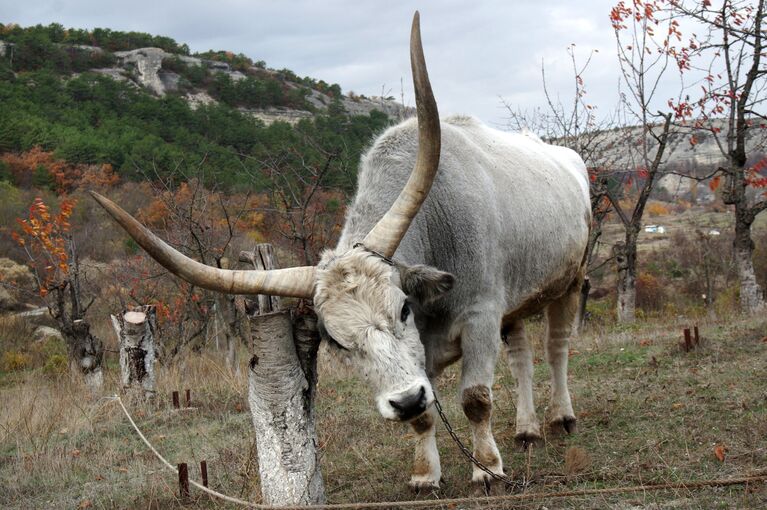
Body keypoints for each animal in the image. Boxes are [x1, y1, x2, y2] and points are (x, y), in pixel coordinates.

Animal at [93, 11, 592, 490]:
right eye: (335, 340)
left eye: (403, 308)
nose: (404, 399)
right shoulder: (430, 354)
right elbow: (427, 415)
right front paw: (425, 473)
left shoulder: (480, 316)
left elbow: (475, 399)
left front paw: (487, 469)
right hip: (517, 304)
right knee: (522, 354)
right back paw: (527, 428)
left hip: (570, 281)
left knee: (556, 348)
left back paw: (562, 417)